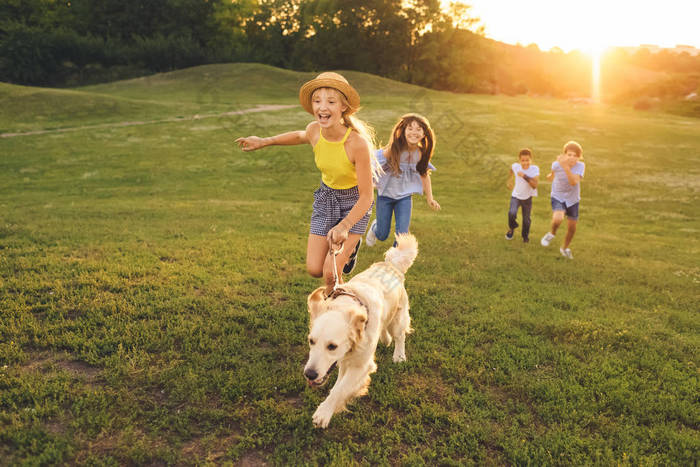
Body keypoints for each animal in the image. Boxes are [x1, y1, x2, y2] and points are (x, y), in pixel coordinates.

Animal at [304, 234, 416, 428]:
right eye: (311, 341)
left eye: (332, 346)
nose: (309, 374)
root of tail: (391, 265)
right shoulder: (345, 360)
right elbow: (339, 384)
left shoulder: (362, 365)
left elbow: (340, 389)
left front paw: (324, 412)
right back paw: (385, 339)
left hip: (399, 316)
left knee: (400, 335)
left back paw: (399, 355)